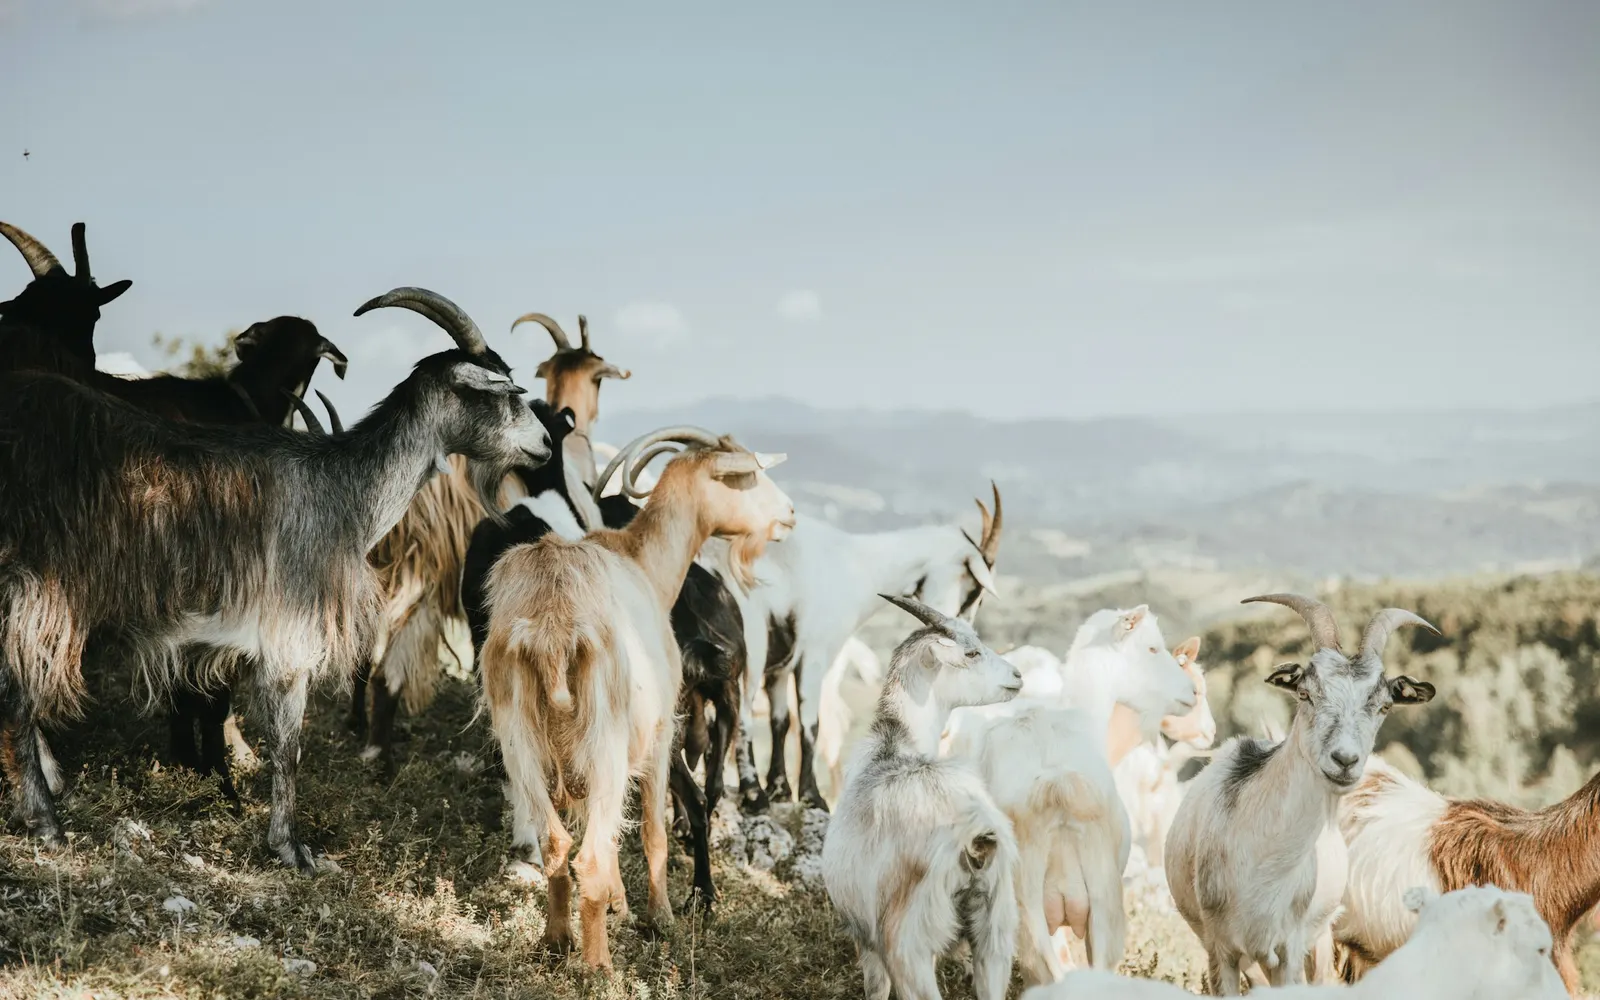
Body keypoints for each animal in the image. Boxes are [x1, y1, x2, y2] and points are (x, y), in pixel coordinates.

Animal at [0, 287, 551, 871]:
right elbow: (288, 745)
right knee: (15, 691)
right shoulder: (290, 634)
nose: (543, 444)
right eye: (503, 391)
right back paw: (45, 821)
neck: (342, 489)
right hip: (40, 584)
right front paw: (291, 847)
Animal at [481, 427, 793, 968]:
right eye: (750, 475)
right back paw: (599, 967)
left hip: (521, 741)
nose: (790, 513)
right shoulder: (659, 733)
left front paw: (619, 904)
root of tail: (551, 625)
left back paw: (557, 941)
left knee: (557, 844)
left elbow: (609, 832)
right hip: (602, 734)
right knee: (587, 853)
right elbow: (653, 832)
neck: (641, 561)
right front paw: (658, 914)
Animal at [740, 486, 1003, 813]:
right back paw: (752, 795)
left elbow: (781, 722)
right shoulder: (814, 652)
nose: (962, 629)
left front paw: (781, 790)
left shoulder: (781, 666)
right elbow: (808, 723)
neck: (854, 563)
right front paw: (812, 796)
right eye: (975, 589)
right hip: (752, 646)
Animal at [822, 594, 1023, 1000]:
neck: (894, 742)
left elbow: (876, 990)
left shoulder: (867, 939)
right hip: (994, 938)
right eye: (972, 652)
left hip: (908, 947)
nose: (1017, 676)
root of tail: (974, 839)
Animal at [1164, 594, 1438, 994]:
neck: (1264, 861)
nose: (1345, 760)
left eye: (1385, 705)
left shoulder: (1289, 948)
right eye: (1305, 694)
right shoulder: (1221, 949)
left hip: (1320, 938)